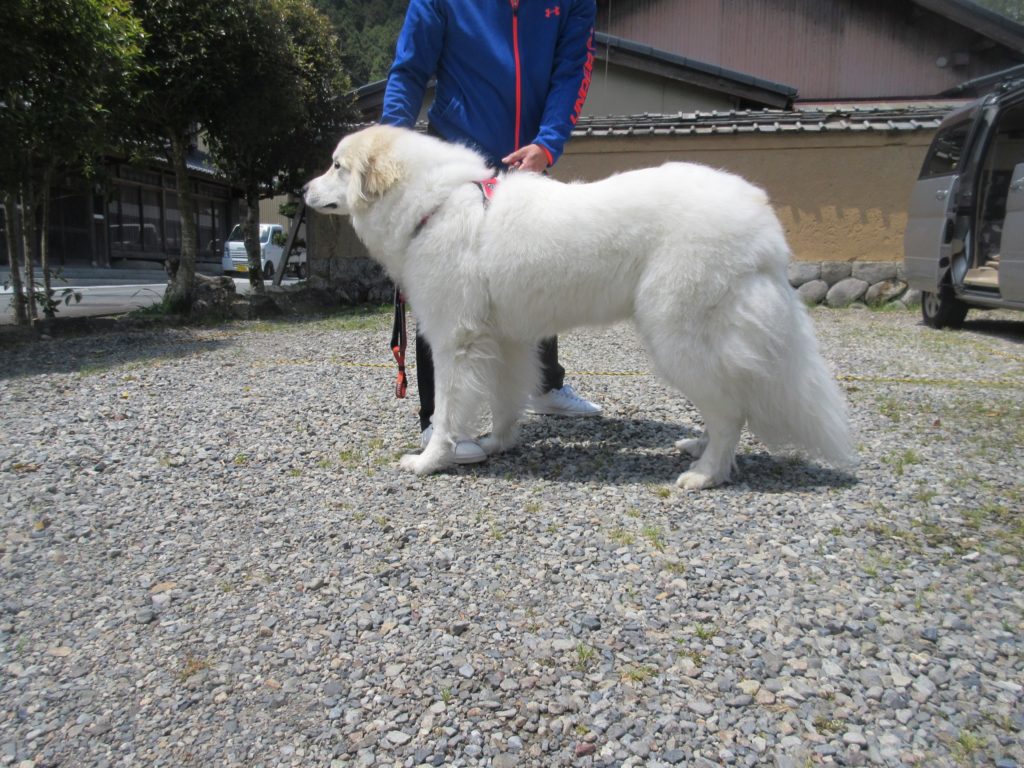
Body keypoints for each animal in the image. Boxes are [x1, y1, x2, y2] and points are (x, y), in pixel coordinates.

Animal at [303, 123, 856, 489]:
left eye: (336, 166)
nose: (303, 188)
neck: (434, 204)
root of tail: (762, 223)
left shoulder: (454, 340)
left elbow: (445, 410)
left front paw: (430, 461)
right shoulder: (505, 340)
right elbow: (505, 397)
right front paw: (497, 444)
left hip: (677, 338)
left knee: (730, 411)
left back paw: (704, 473)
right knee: (729, 406)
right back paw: (699, 451)